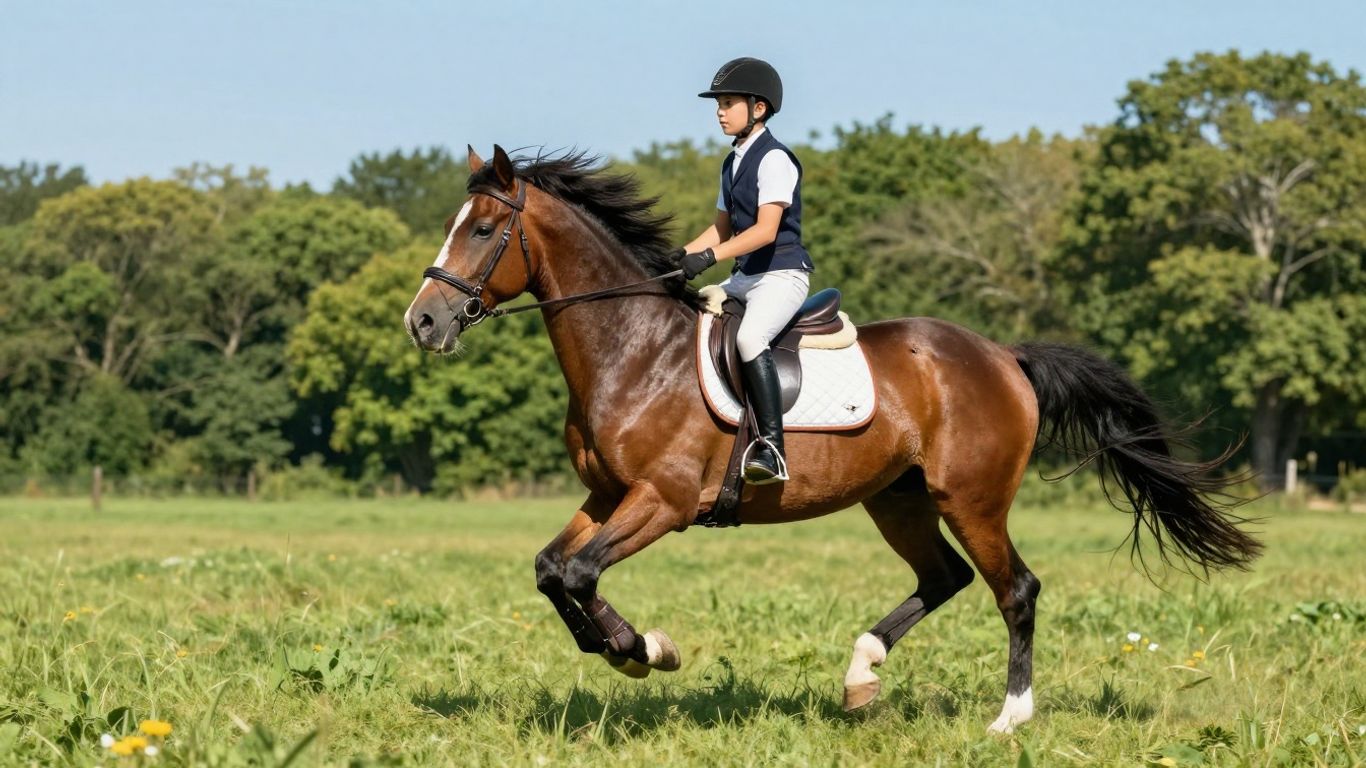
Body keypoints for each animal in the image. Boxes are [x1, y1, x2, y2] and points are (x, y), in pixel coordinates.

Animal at [403, 145, 1261, 733]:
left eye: (484, 230)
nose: (423, 322)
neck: (631, 347)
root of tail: (1002, 355)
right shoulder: (608, 493)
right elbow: (552, 570)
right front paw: (630, 648)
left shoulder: (664, 501)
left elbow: (579, 573)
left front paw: (643, 650)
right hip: (899, 499)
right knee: (943, 578)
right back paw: (861, 676)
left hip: (972, 498)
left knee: (1014, 589)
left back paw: (1009, 717)